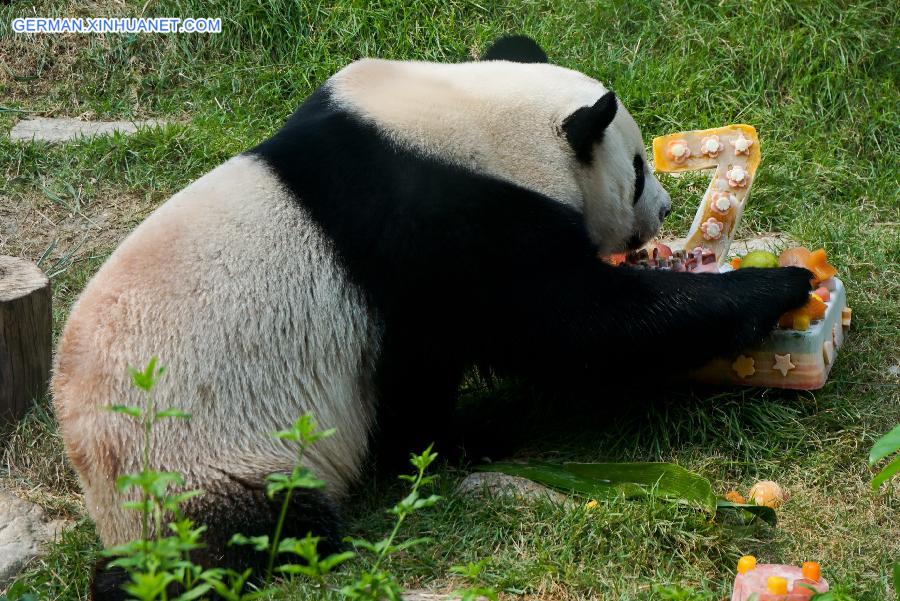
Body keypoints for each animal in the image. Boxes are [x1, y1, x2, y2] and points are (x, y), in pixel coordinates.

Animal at [49, 36, 812, 596]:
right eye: (635, 169)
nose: (661, 211)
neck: (468, 119)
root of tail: (90, 471)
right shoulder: (441, 227)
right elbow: (569, 325)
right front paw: (779, 287)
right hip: (198, 454)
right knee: (247, 531)